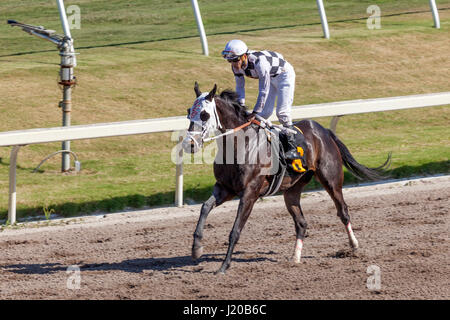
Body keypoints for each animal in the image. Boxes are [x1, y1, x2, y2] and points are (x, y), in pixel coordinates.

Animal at [183, 82, 390, 276]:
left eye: (204, 115)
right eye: (188, 112)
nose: (189, 144)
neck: (241, 146)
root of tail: (323, 130)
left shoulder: (250, 193)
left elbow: (235, 230)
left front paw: (224, 266)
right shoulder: (225, 188)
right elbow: (204, 208)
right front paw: (196, 248)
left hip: (331, 180)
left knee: (343, 211)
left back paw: (354, 245)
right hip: (292, 190)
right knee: (301, 223)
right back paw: (295, 257)